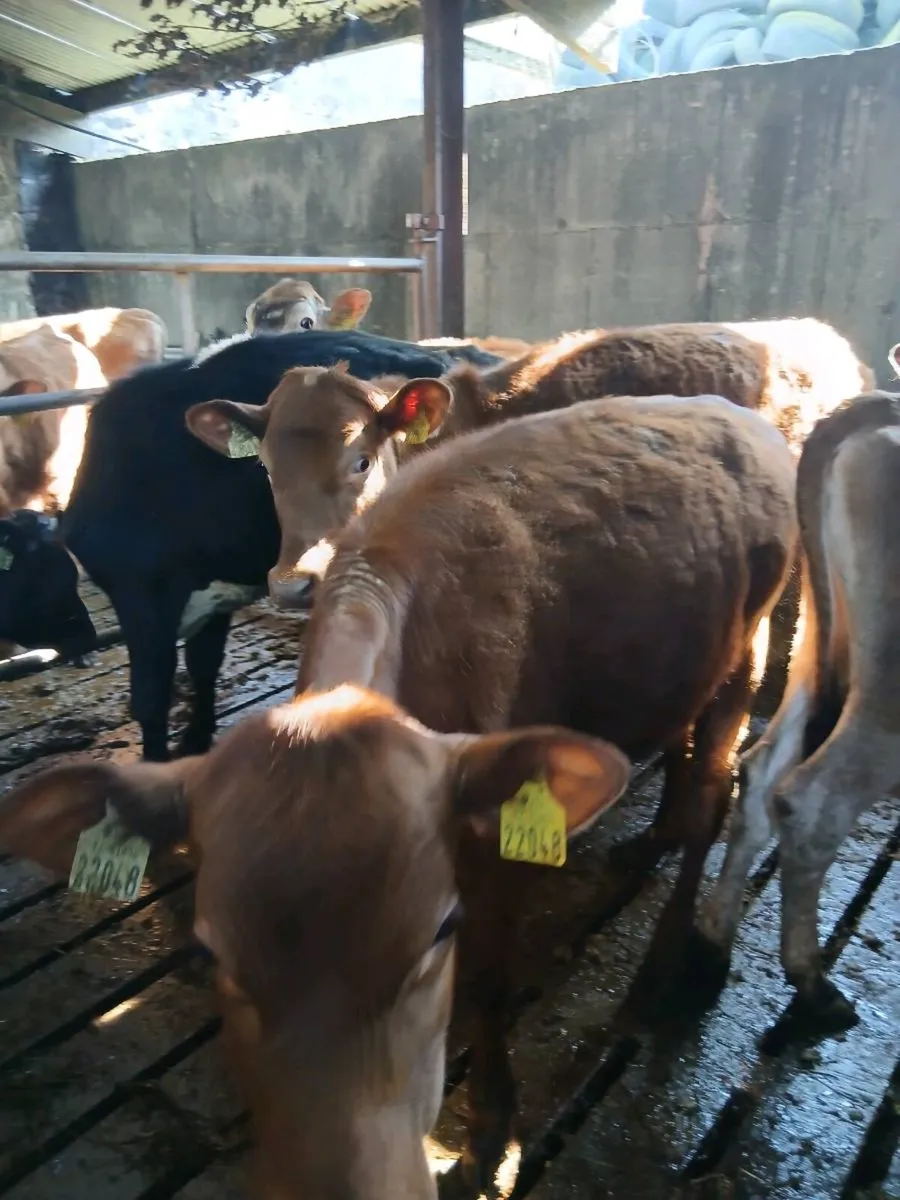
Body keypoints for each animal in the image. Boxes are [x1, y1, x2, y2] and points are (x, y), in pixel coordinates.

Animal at [61, 330, 491, 762]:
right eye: (263, 469)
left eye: (362, 463)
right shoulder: (203, 598)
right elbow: (202, 668)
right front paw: (196, 738)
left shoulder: (140, 596)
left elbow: (150, 699)